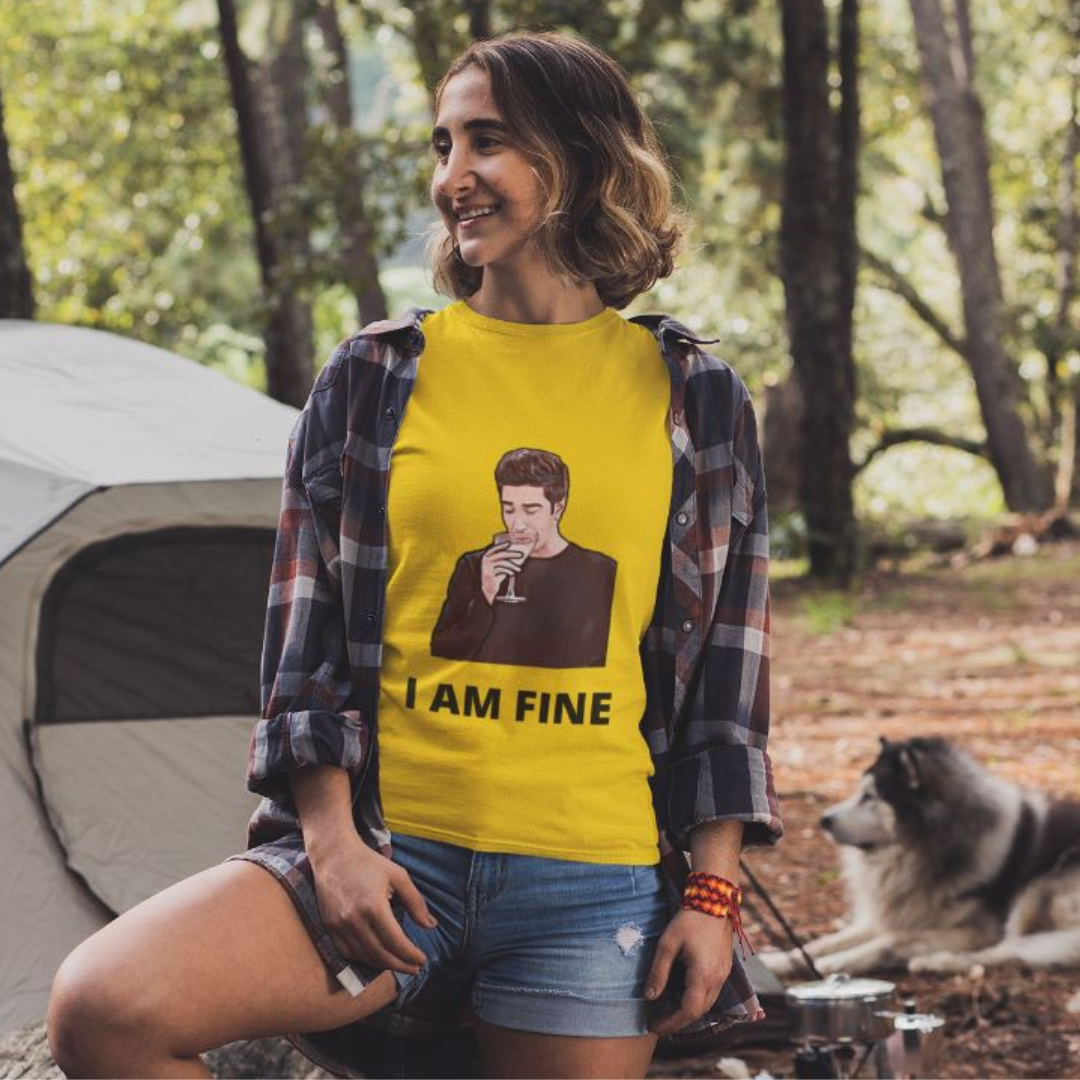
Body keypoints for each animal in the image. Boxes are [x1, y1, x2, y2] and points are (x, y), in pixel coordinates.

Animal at [756, 734, 1080, 980]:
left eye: (870, 796)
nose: (824, 820)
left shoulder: (978, 930)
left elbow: (894, 938)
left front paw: (839, 962)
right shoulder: (894, 914)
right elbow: (822, 943)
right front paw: (781, 960)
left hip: (1037, 891)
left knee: (1009, 952)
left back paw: (937, 961)